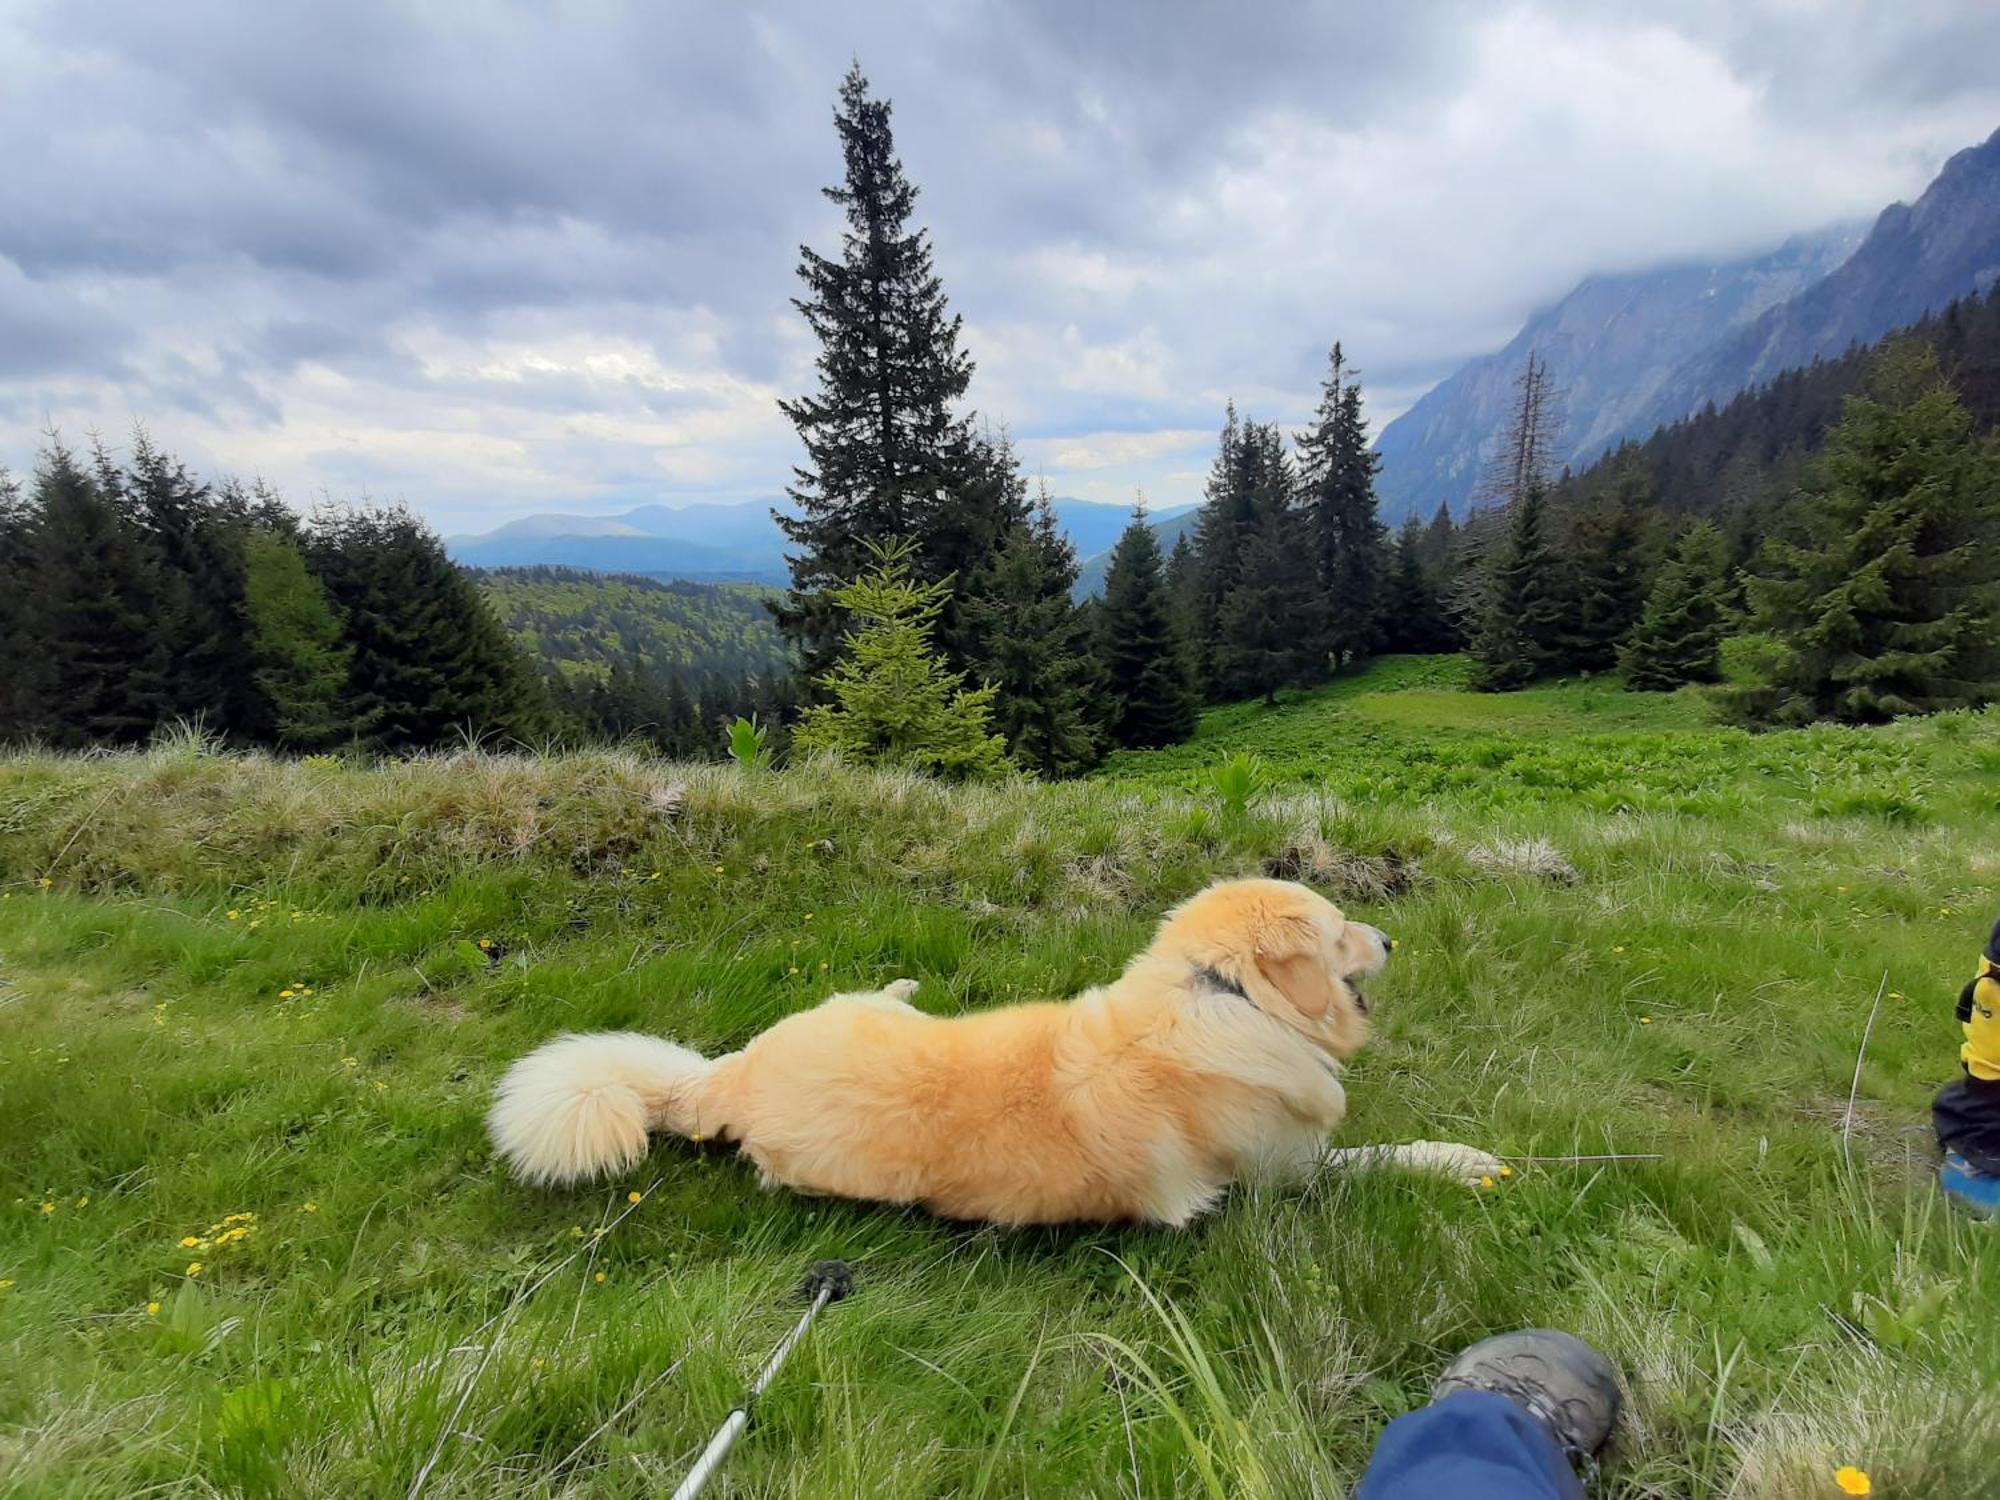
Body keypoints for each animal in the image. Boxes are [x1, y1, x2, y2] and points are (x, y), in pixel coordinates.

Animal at [488, 880, 1504, 1224]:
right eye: (1341, 932)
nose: (1392, 941)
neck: (1219, 998)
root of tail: (726, 1079)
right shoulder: (1285, 1180)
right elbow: (1387, 1156)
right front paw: (1465, 1160)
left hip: (841, 1015)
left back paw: (904, 984)